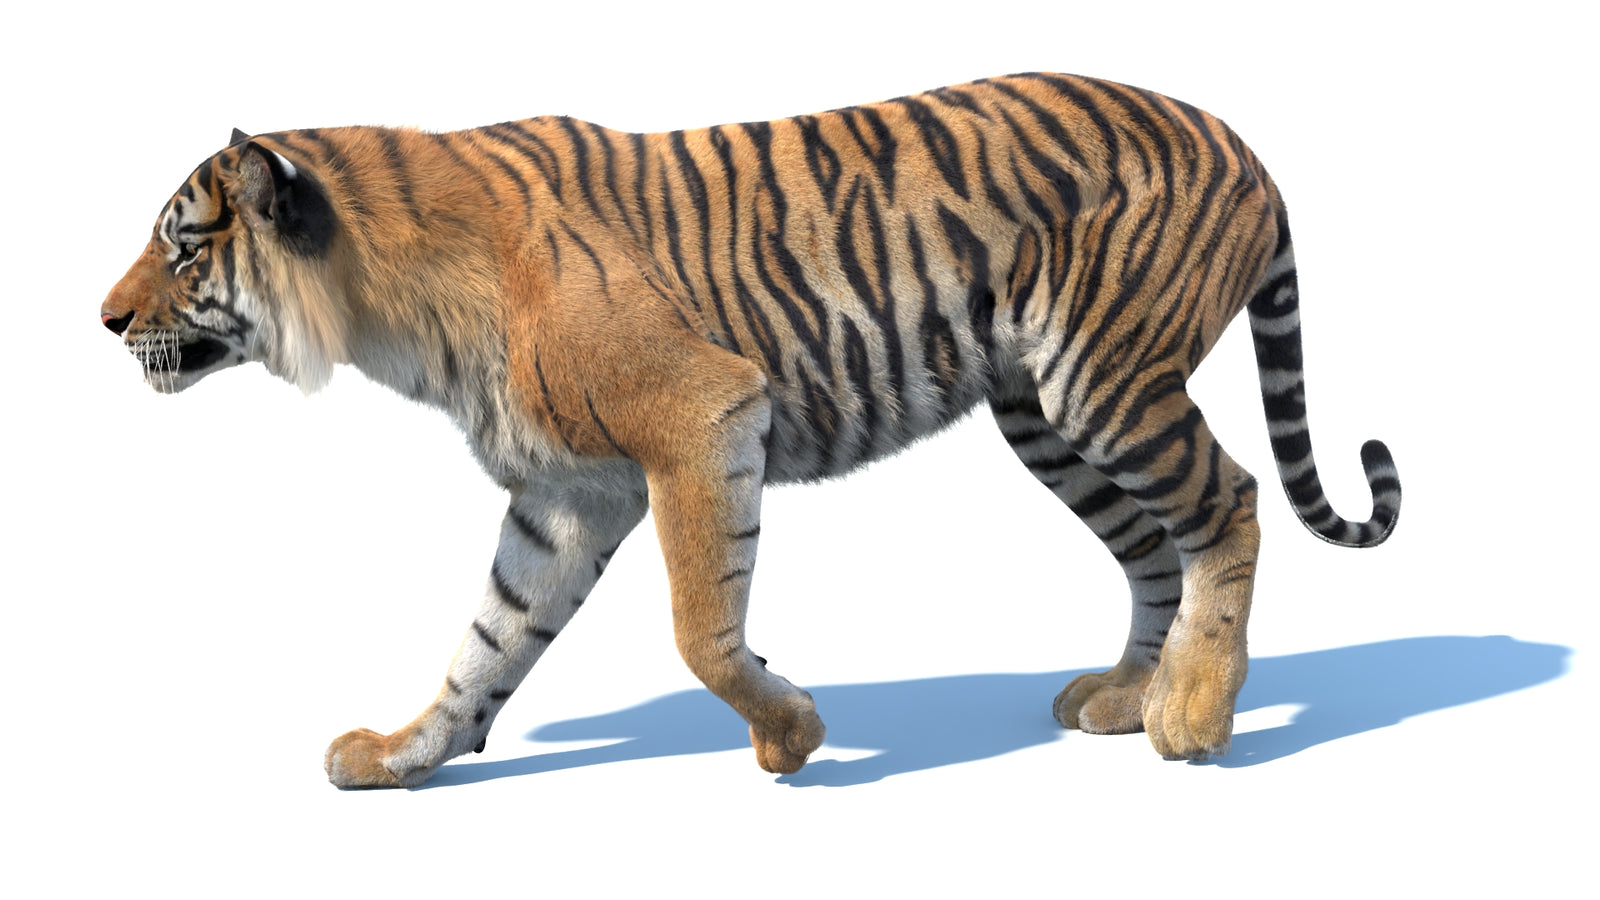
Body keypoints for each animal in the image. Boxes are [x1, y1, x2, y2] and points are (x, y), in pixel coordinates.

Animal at [101, 73, 1400, 788]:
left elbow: (699, 628)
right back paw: (1129, 693)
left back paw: (1193, 713)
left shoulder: (700, 417)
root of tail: (1241, 139)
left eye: (183, 246)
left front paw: (790, 735)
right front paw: (402, 755)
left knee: (1228, 505)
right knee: (1147, 548)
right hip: (1043, 413)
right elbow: (489, 640)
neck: (384, 305)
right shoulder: (566, 494)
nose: (104, 320)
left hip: (1104, 382)